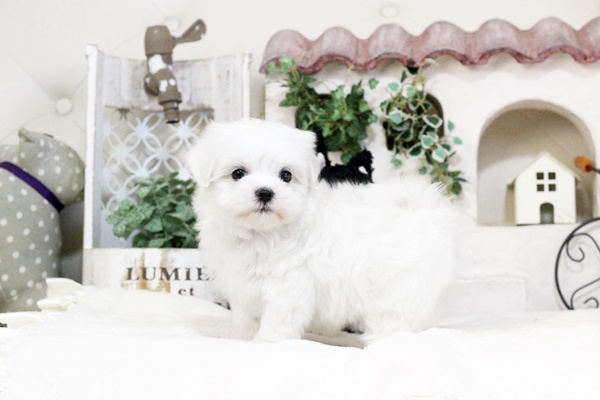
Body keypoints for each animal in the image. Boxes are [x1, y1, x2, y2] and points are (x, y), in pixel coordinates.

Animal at [185, 119, 456, 345]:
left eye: (286, 175)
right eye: (238, 173)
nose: (265, 192)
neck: (261, 234)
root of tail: (425, 213)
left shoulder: (287, 284)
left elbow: (276, 320)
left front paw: (264, 344)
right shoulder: (242, 287)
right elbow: (245, 319)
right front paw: (243, 339)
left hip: (396, 291)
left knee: (394, 324)